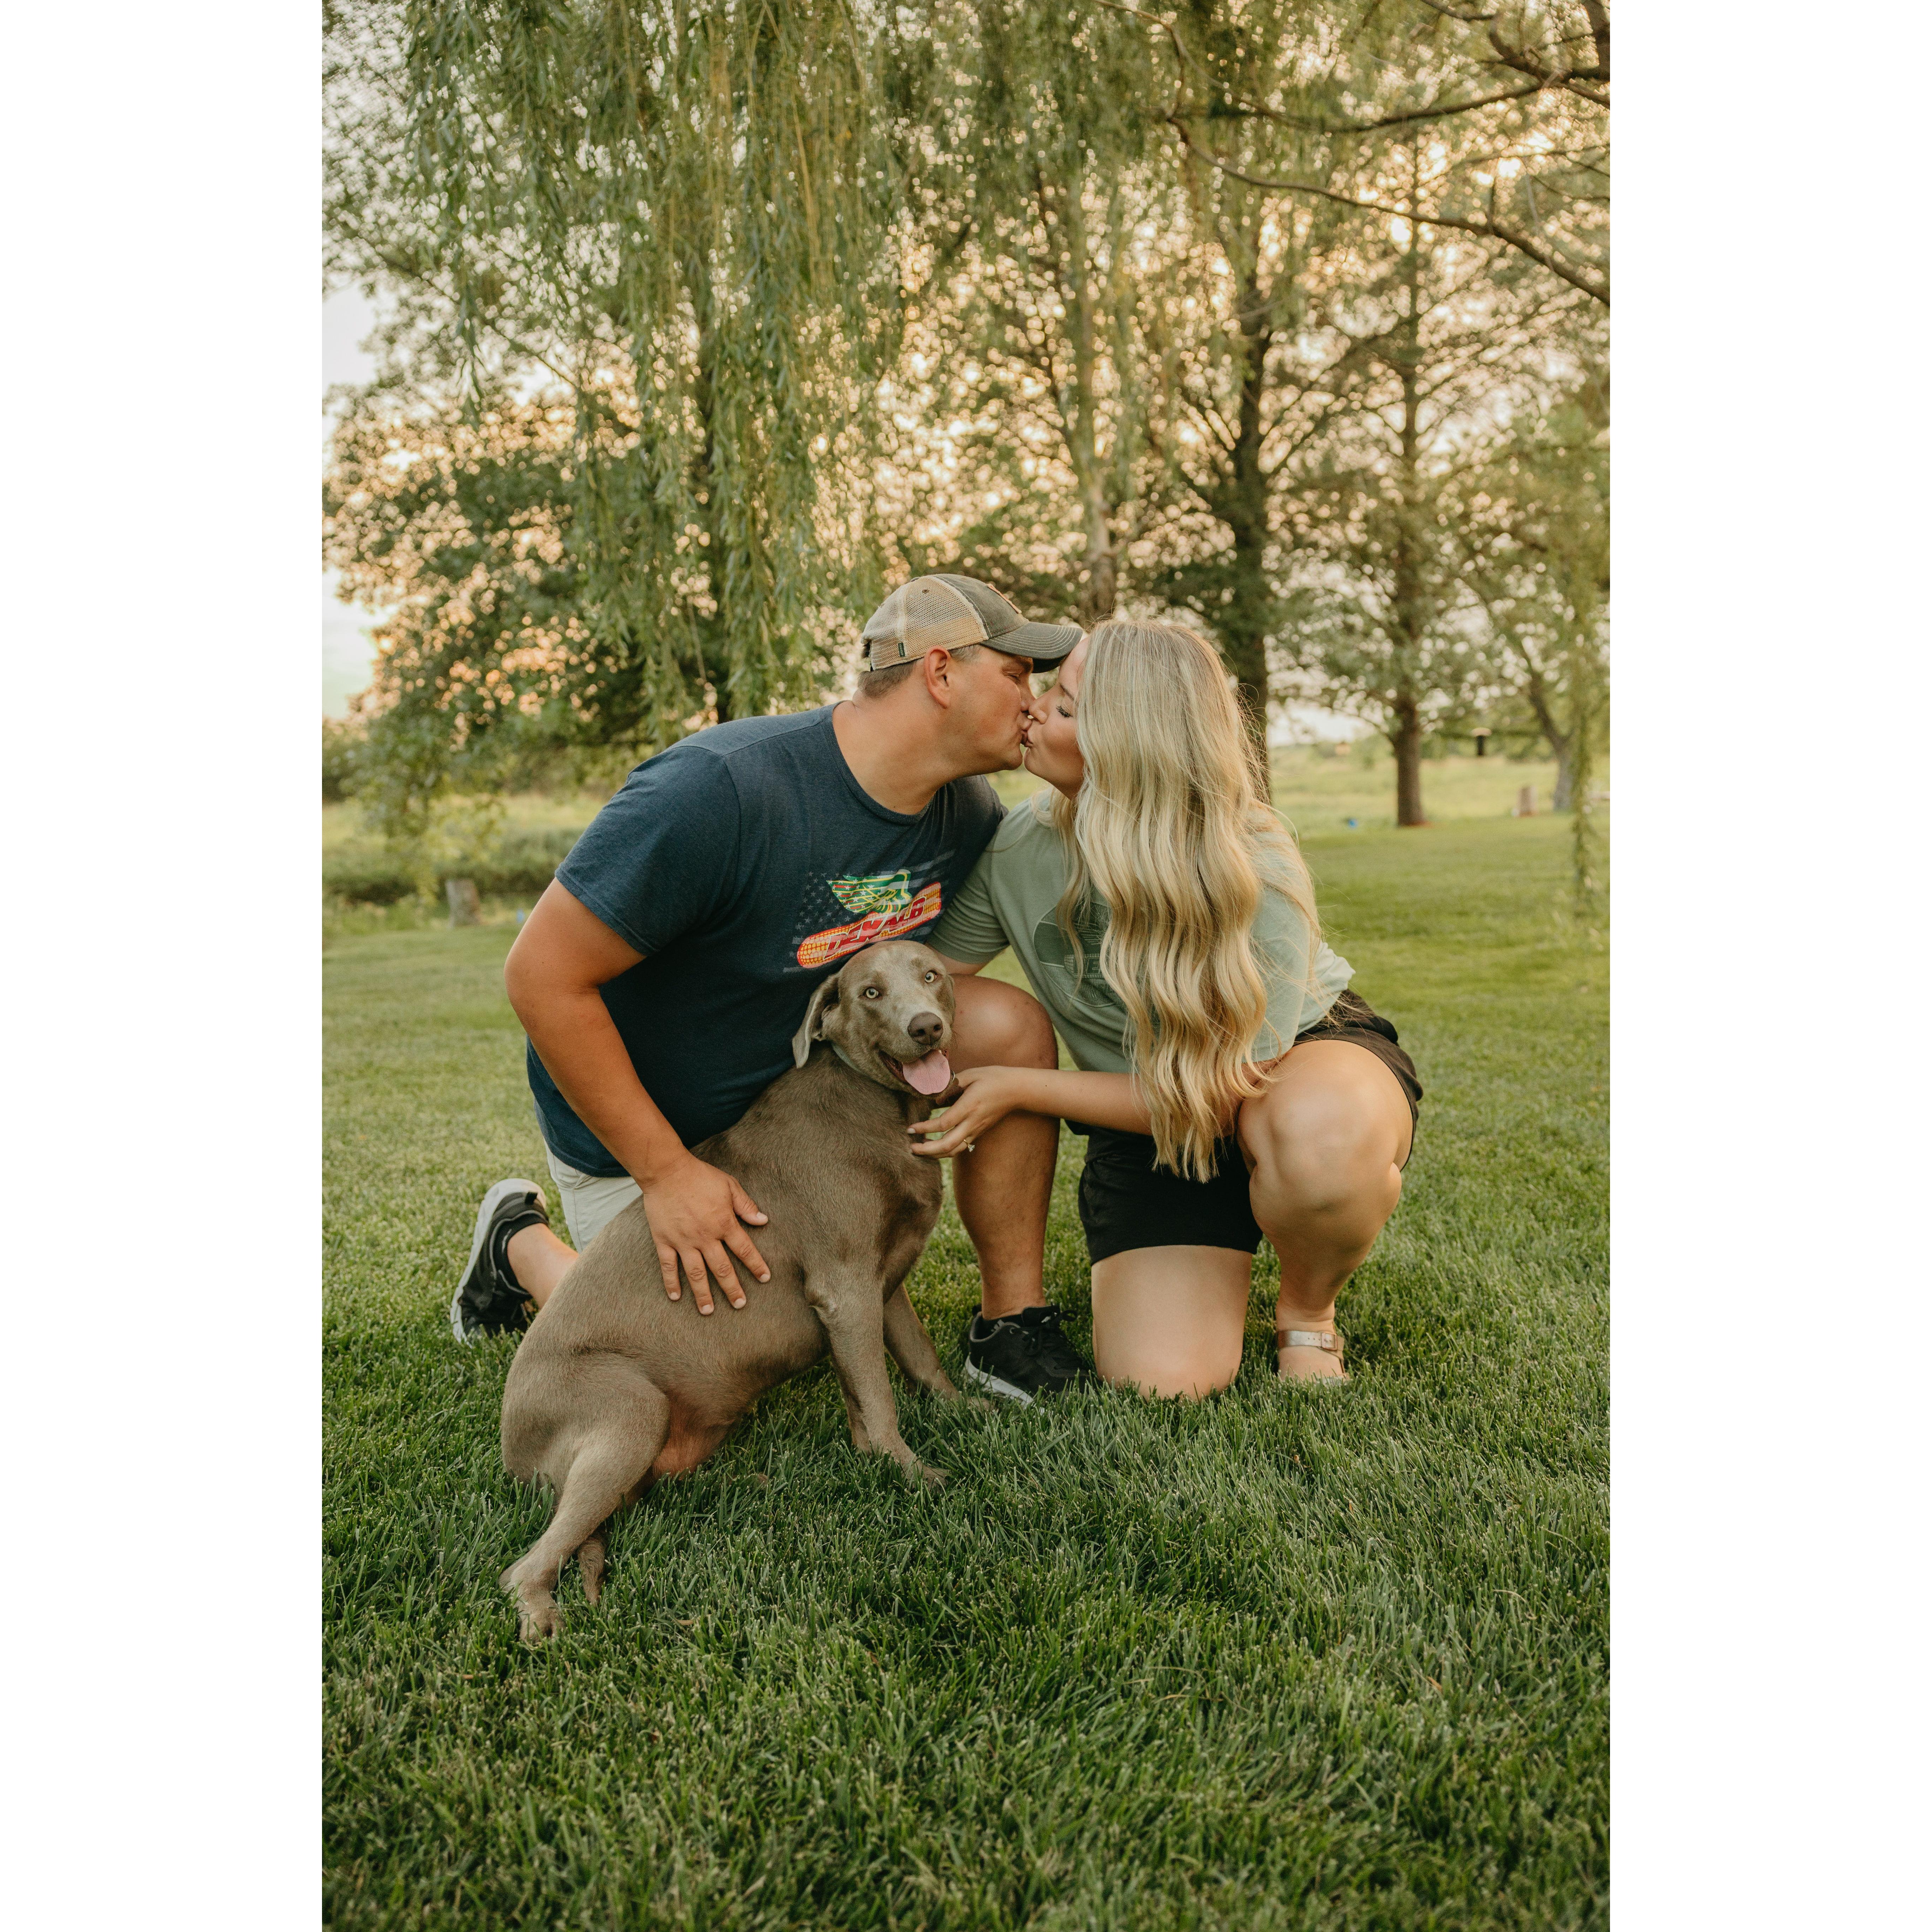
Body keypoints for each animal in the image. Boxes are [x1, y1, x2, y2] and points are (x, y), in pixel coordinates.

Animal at [498, 939, 966, 1641]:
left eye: (931, 975)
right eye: (870, 994)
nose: (926, 1028)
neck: (875, 1108)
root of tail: (511, 1450)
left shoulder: (885, 1286)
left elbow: (921, 1361)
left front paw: (976, 1414)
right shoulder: (846, 1285)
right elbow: (880, 1401)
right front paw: (912, 1474)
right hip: (627, 1405)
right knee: (525, 1564)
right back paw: (542, 1621)